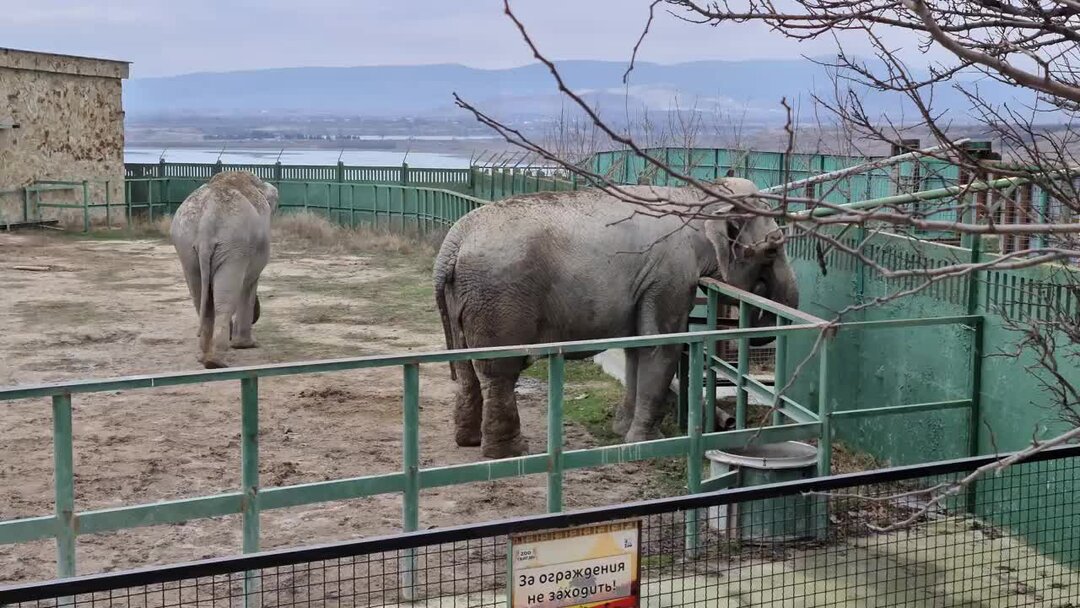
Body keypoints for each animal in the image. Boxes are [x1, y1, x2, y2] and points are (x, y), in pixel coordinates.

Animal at [169, 172, 278, 371]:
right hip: (234, 245)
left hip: (186, 245)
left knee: (200, 296)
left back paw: (205, 357)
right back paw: (216, 361)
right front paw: (246, 345)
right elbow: (250, 284)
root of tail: (207, 218)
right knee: (225, 301)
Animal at [434, 178, 799, 460]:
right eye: (772, 250)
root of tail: (453, 243)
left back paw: (469, 441)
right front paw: (646, 443)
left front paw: (620, 430)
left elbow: (635, 349)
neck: (695, 194)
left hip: (465, 300)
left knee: (467, 369)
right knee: (499, 372)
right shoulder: (670, 275)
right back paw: (511, 452)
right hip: (498, 298)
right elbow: (661, 346)